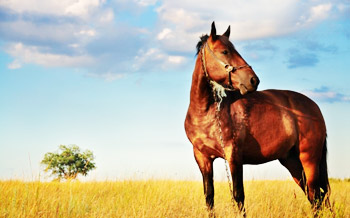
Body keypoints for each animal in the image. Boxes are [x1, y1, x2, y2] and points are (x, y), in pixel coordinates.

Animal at [185, 21, 330, 215]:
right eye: (225, 51)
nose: (254, 80)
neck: (206, 113)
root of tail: (314, 107)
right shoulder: (202, 158)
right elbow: (209, 197)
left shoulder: (233, 156)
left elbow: (238, 196)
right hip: (292, 161)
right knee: (314, 196)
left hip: (309, 159)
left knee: (316, 196)